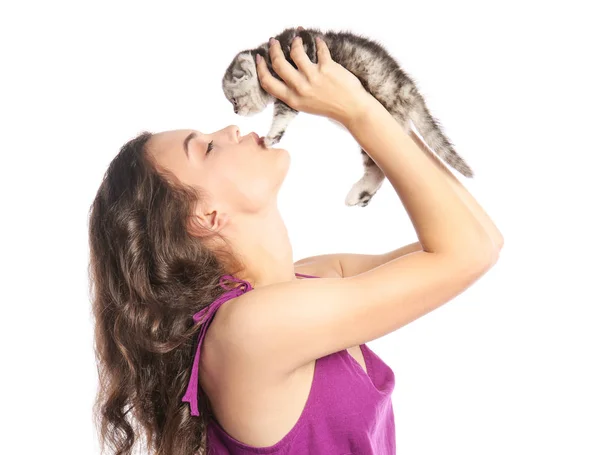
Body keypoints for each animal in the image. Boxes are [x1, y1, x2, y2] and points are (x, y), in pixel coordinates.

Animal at [221, 26, 474, 208]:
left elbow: (282, 115)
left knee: (381, 167)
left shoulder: (290, 86)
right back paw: (361, 194)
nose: (235, 112)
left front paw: (271, 136)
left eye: (233, 100)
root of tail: (408, 88)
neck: (266, 56)